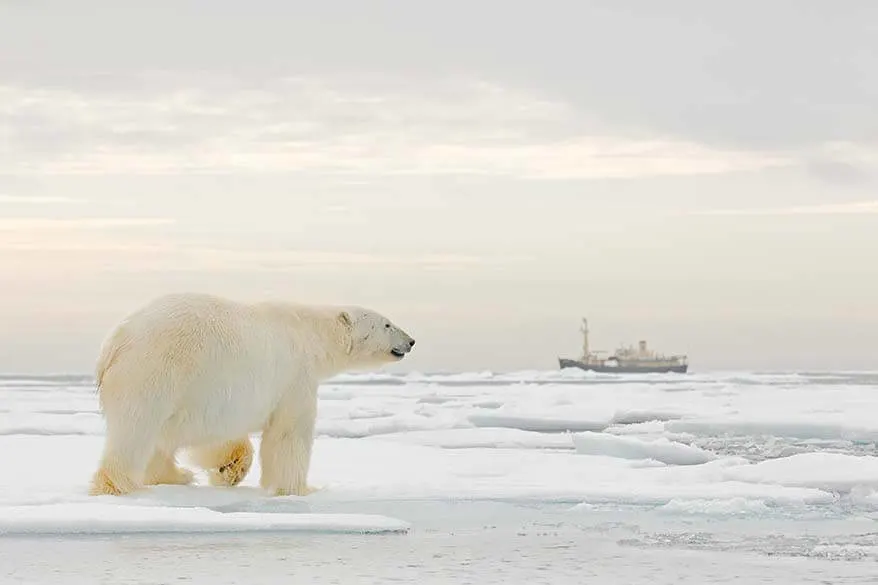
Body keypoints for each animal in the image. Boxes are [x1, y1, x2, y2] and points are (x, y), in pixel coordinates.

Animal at [88, 292, 416, 498]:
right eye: (387, 324)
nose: (411, 341)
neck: (310, 334)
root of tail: (114, 342)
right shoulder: (294, 375)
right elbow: (288, 434)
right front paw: (301, 489)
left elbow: (214, 433)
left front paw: (229, 469)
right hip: (155, 369)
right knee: (136, 430)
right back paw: (119, 484)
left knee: (159, 436)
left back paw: (177, 475)